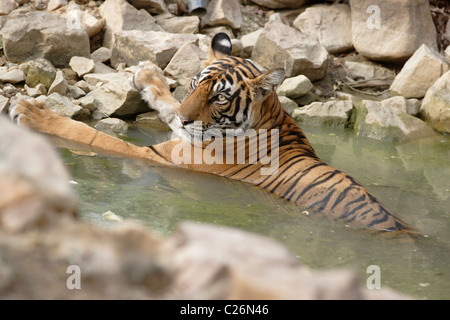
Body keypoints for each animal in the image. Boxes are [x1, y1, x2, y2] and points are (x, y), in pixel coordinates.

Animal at [8, 32, 418, 234]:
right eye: (194, 84)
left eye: (220, 97)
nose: (187, 119)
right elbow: (168, 104)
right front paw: (148, 75)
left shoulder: (164, 155)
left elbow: (96, 137)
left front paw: (31, 113)